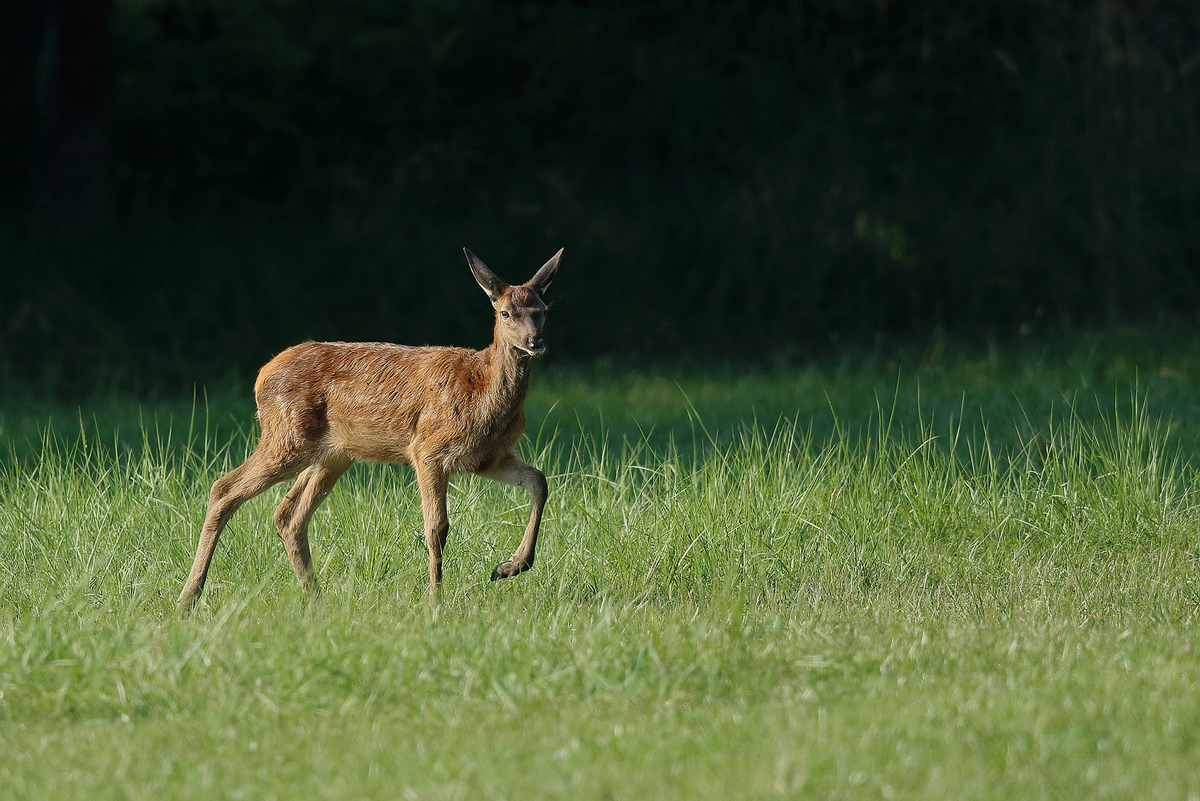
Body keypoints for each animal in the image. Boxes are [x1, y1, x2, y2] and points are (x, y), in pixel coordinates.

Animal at [175, 247, 561, 618]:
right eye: (505, 313)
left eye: (543, 309)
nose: (536, 341)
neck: (482, 392)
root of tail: (261, 376)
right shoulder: (428, 449)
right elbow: (436, 527)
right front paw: (434, 601)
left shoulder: (488, 458)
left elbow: (539, 481)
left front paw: (510, 566)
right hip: (287, 437)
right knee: (224, 489)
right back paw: (188, 599)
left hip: (331, 455)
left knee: (288, 515)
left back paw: (315, 599)